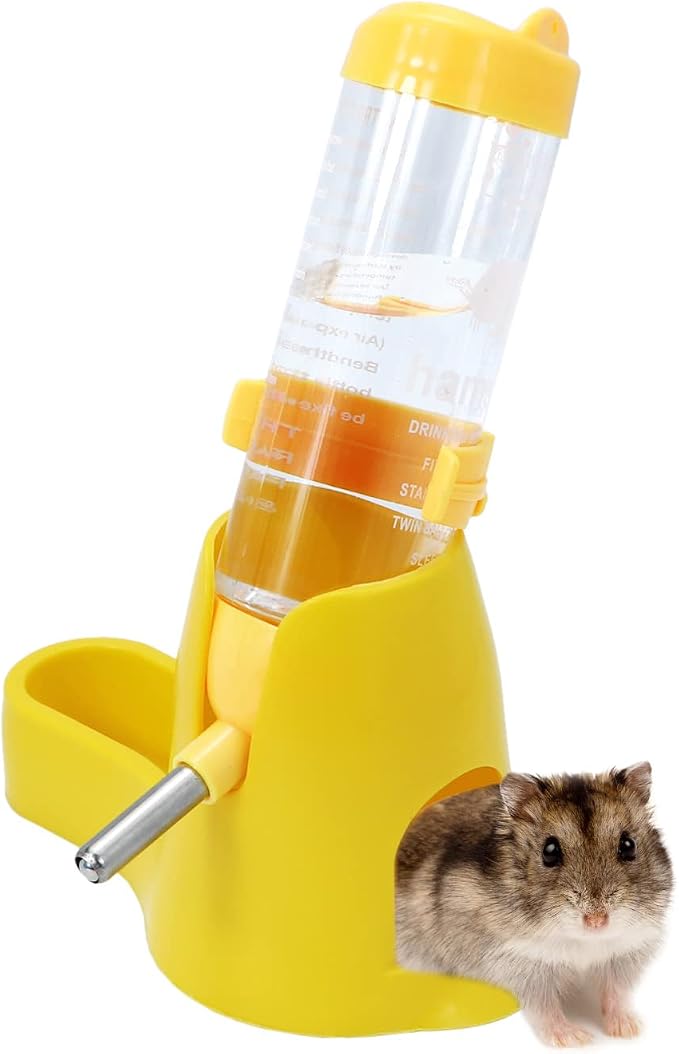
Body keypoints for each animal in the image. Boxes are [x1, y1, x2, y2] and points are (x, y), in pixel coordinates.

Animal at [396, 762, 672, 1047]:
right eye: (549, 851)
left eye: (628, 845)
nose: (596, 921)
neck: (583, 942)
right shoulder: (523, 963)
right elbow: (545, 1007)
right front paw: (575, 1039)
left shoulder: (624, 954)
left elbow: (615, 992)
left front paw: (629, 1030)